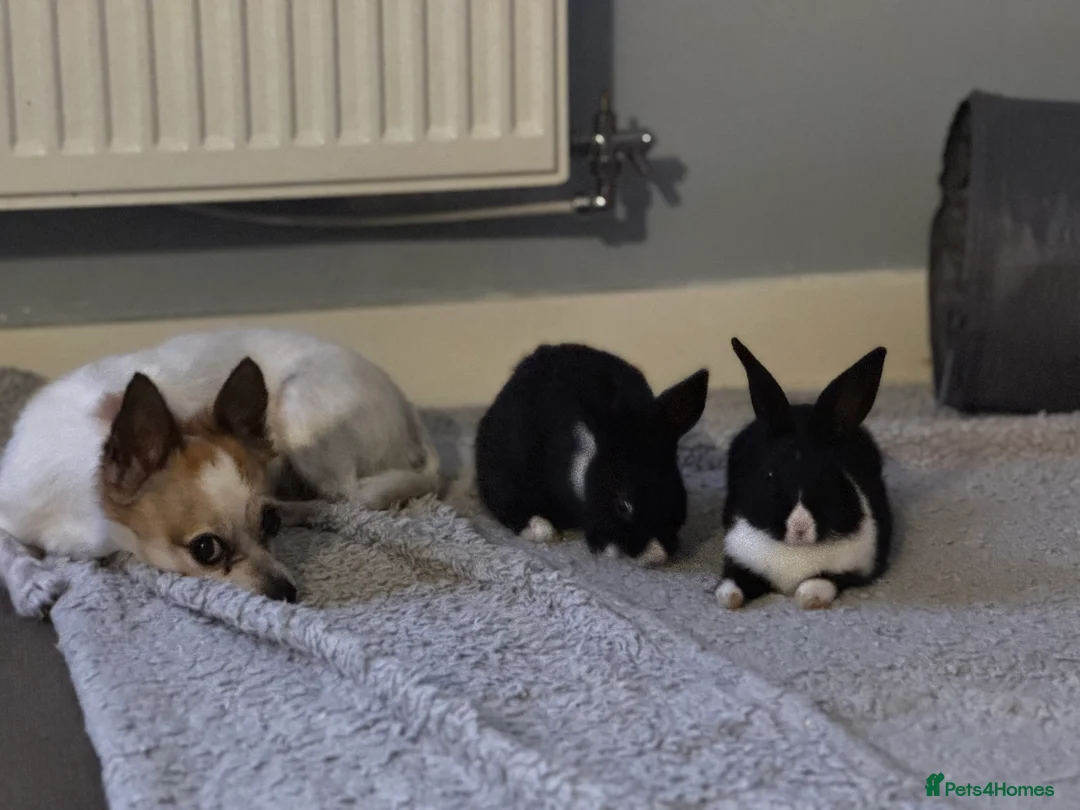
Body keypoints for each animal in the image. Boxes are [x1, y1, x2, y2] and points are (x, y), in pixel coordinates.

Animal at [715, 338, 892, 610]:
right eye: (769, 476)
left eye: (830, 478)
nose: (799, 528)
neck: (795, 551)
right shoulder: (740, 559)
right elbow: (735, 579)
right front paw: (728, 599)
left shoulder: (852, 568)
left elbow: (824, 580)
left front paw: (808, 598)